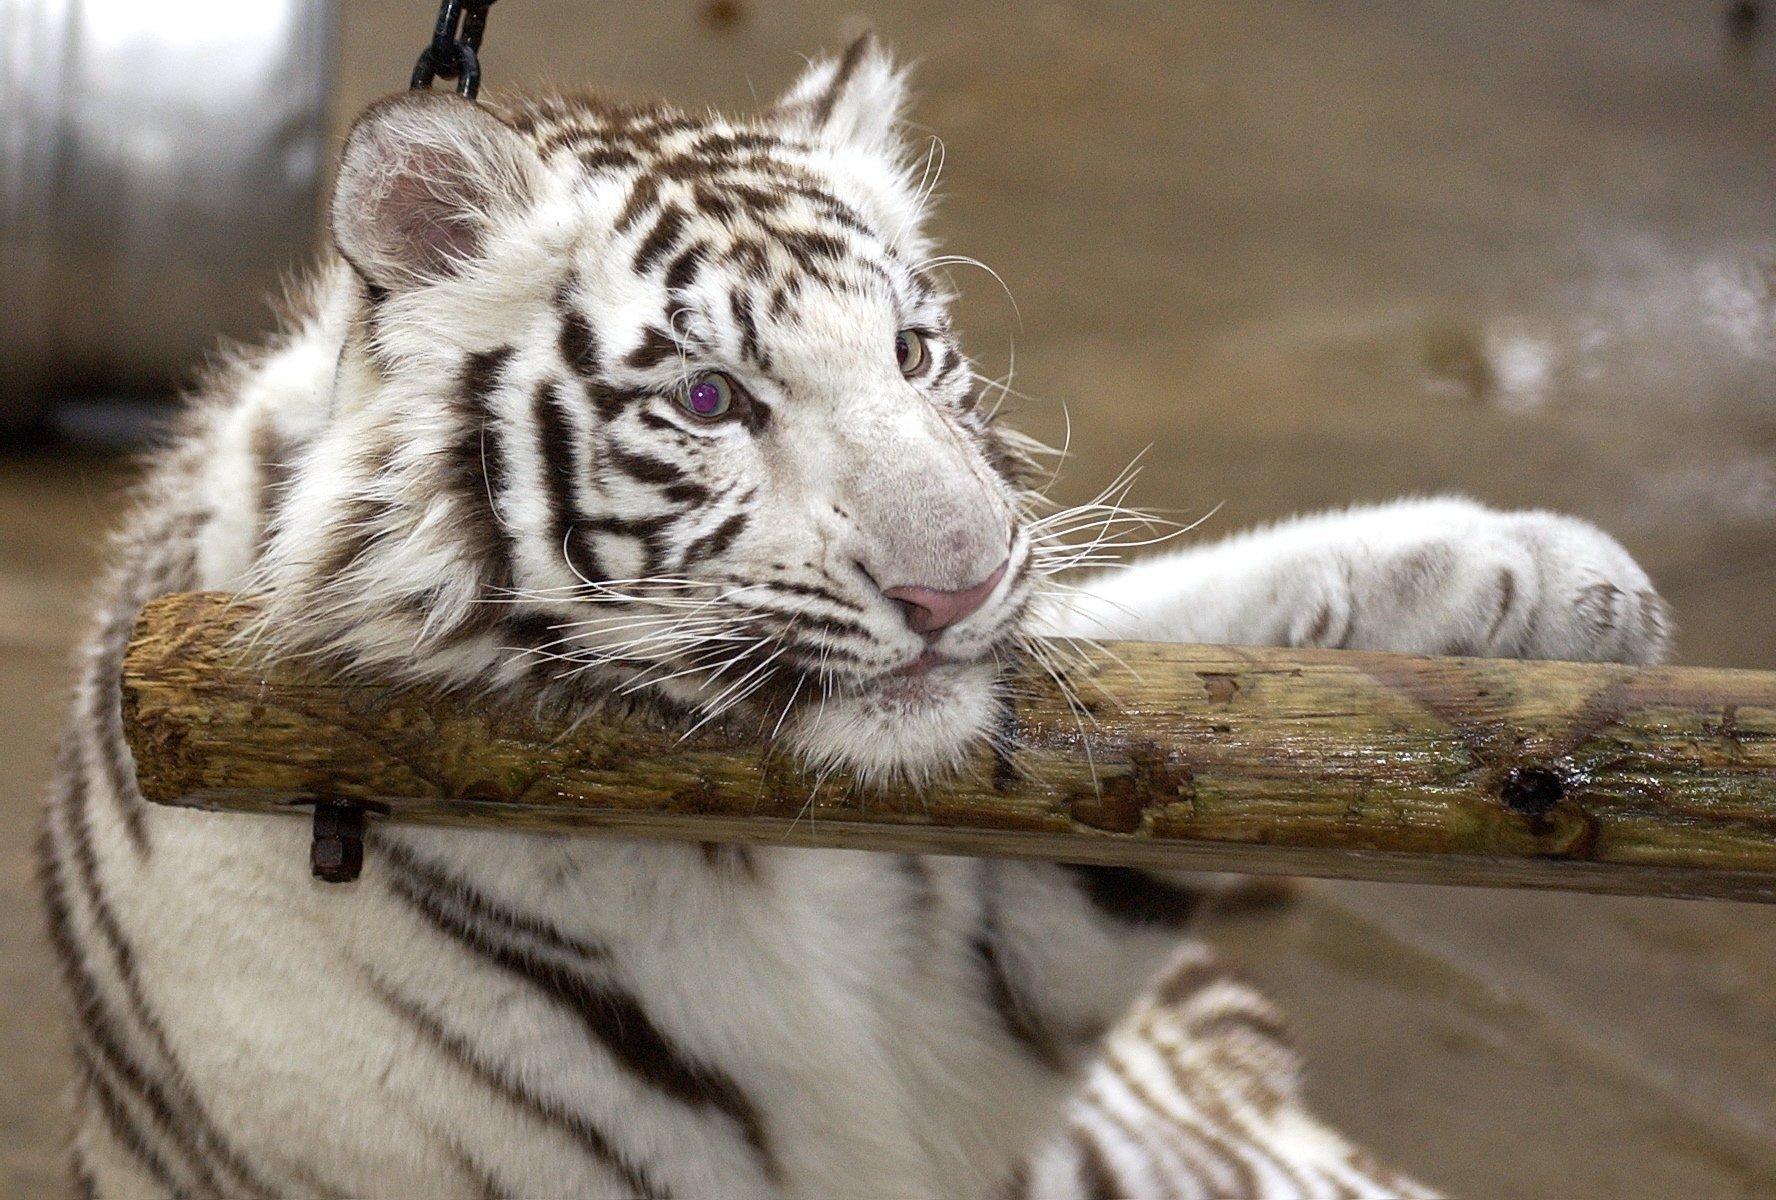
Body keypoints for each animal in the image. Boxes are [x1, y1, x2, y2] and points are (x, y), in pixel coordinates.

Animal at [41, 37, 1669, 1200]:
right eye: (712, 400)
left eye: (911, 351)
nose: (961, 584)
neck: (736, 859)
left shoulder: (989, 966)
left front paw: (1547, 589)